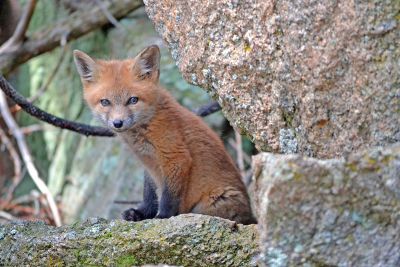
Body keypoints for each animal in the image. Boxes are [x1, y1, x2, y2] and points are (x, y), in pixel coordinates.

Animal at [74, 45, 256, 225]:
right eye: (105, 102)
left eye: (133, 100)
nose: (117, 123)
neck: (146, 126)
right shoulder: (149, 164)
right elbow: (150, 194)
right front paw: (142, 213)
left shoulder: (175, 157)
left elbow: (168, 197)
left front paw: (163, 217)